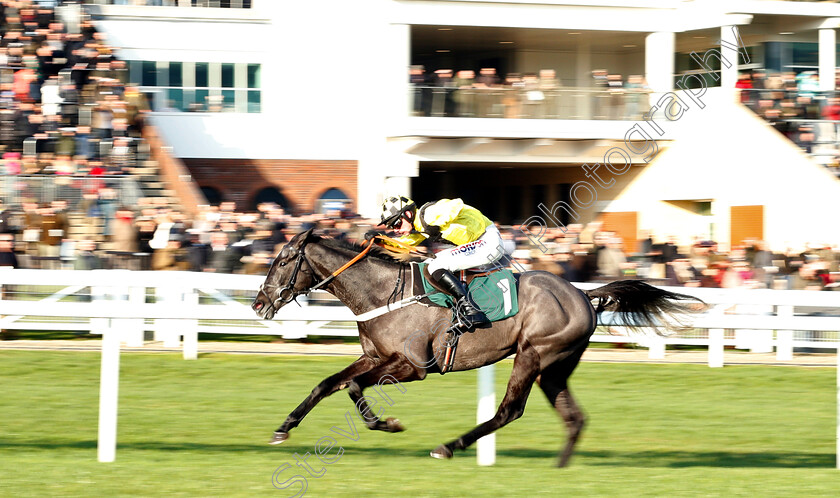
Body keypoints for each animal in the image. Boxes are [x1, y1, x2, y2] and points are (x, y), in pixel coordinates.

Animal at [253, 230, 700, 466]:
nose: (259, 303)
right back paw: (560, 466)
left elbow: (351, 387)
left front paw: (388, 424)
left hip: (533, 354)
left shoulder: (412, 366)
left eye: (283, 260)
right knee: (574, 417)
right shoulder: (374, 356)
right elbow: (330, 384)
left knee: (509, 410)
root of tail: (584, 295)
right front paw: (283, 428)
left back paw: (448, 447)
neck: (381, 292)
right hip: (555, 368)